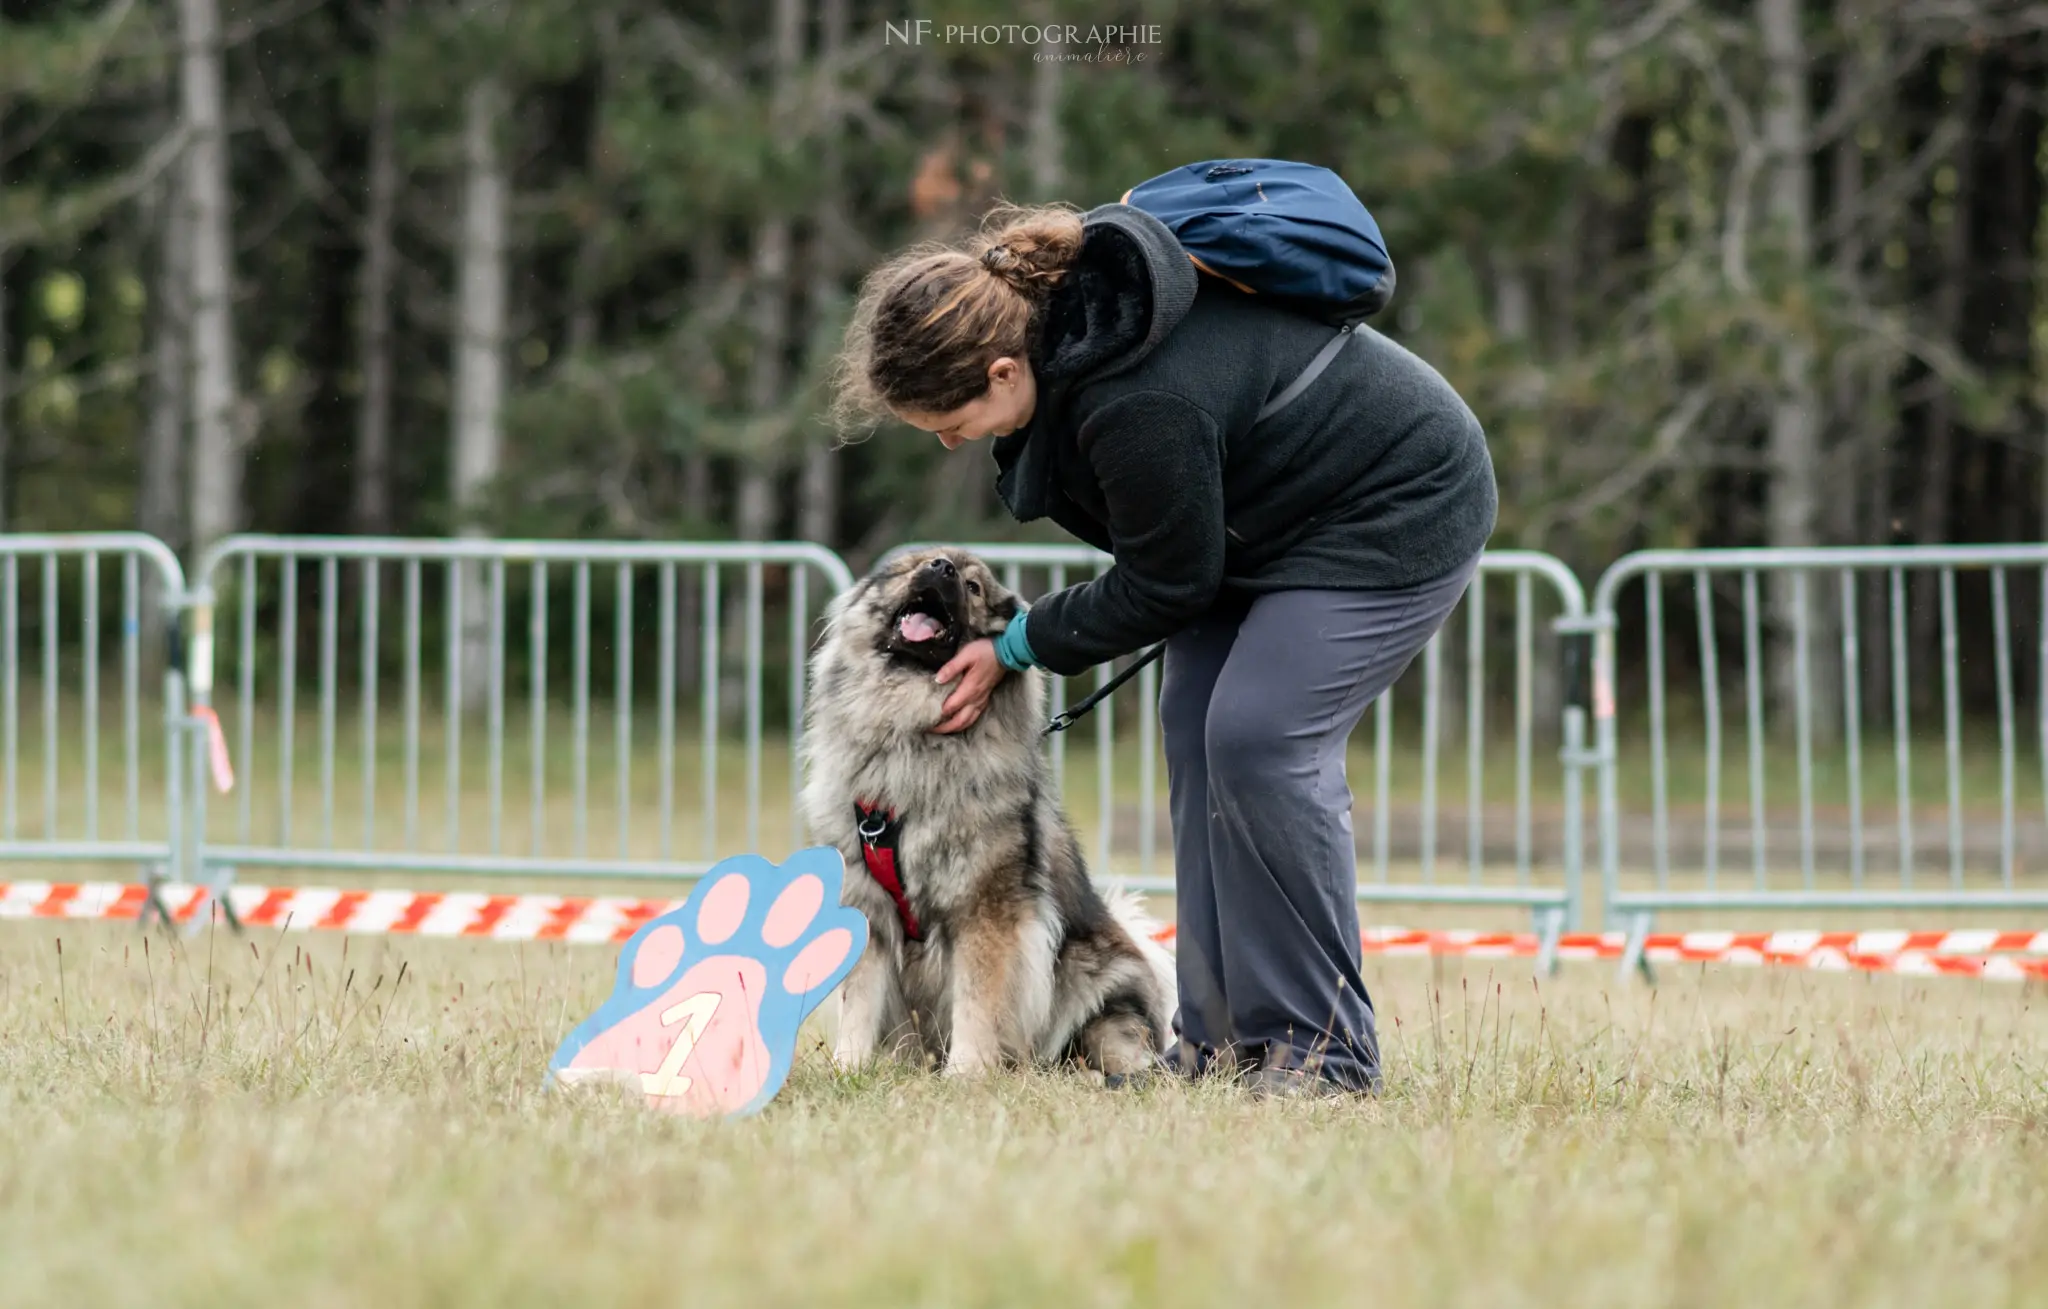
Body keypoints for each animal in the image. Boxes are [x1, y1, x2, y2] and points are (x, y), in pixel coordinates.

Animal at [802, 549, 1187, 1081]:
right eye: (918, 563)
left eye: (973, 587)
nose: (941, 567)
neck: (911, 733)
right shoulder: (870, 911)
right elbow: (858, 1003)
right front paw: (848, 1069)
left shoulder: (984, 912)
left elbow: (976, 1002)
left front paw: (966, 1073)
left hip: (1097, 984)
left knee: (1114, 1047)